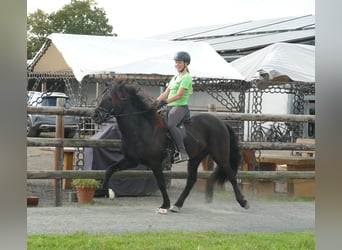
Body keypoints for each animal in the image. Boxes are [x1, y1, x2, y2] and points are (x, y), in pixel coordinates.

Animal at [93, 79, 248, 212]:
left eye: (110, 98)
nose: (95, 116)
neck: (141, 128)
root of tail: (221, 122)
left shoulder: (155, 163)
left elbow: (161, 183)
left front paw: (165, 205)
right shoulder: (131, 160)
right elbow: (109, 169)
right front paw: (102, 190)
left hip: (219, 155)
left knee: (231, 175)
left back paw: (243, 202)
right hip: (195, 158)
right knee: (191, 181)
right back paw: (177, 205)